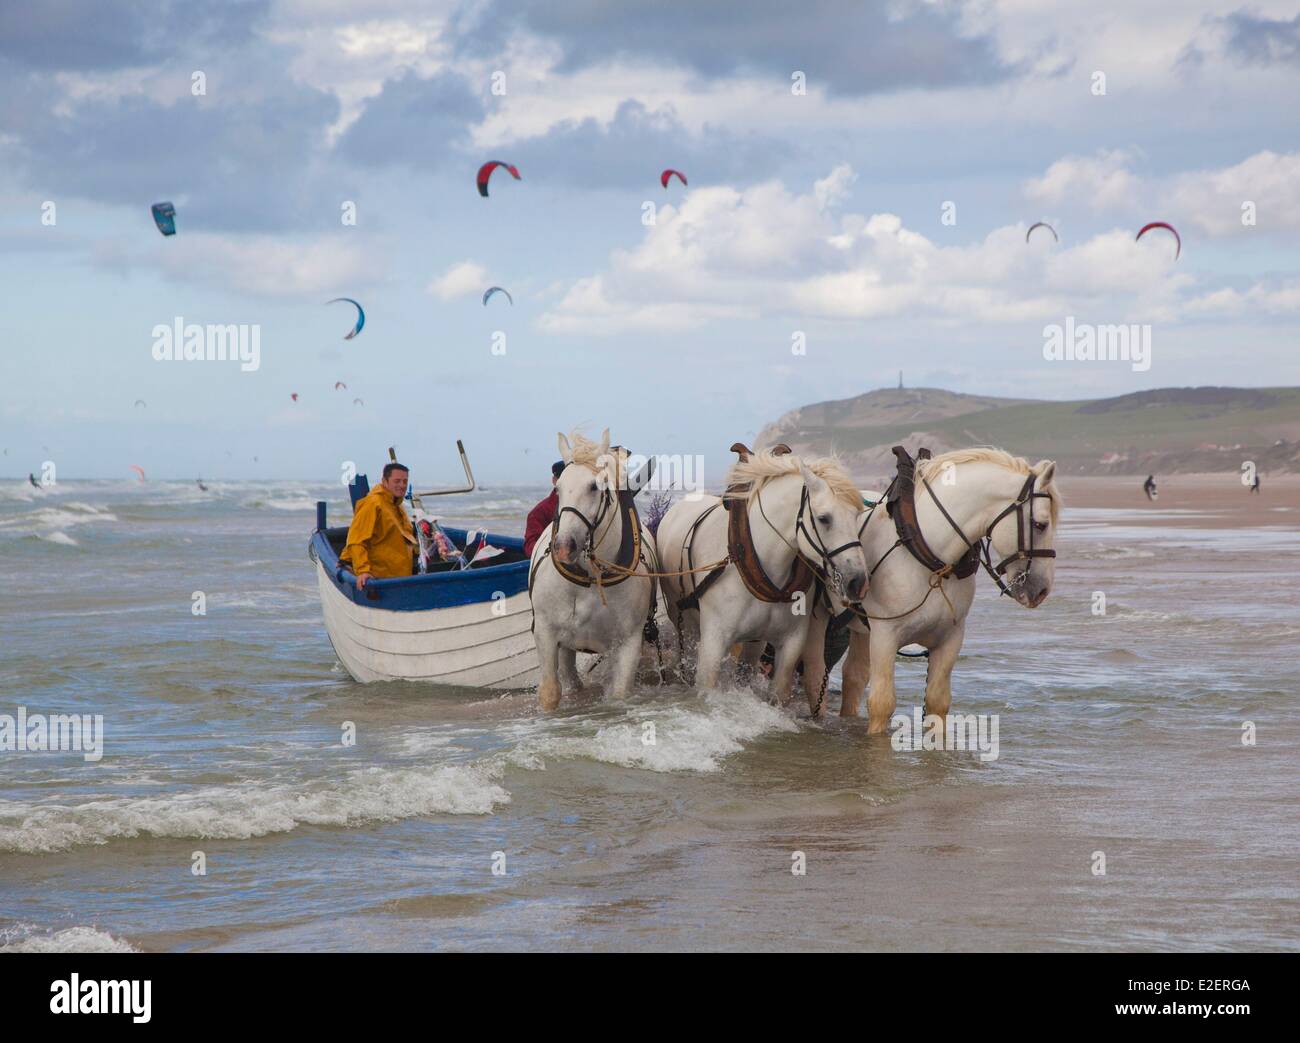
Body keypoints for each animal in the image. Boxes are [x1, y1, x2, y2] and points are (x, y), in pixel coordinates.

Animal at [528, 429, 657, 711]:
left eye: (594, 487)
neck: (590, 576)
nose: (564, 546)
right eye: (558, 488)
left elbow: (619, 693)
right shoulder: (546, 632)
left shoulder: (629, 642)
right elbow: (550, 692)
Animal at [656, 448, 869, 704]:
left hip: (754, 642)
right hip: (684, 622)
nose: (858, 582)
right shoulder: (713, 642)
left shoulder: (791, 643)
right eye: (824, 518)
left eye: (856, 516)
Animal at [799, 447, 1061, 732]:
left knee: (854, 676)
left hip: (860, 630)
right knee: (815, 673)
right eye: (1040, 525)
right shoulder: (884, 635)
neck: (926, 553)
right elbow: (881, 703)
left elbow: (937, 703)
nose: (1042, 589)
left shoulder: (950, 638)